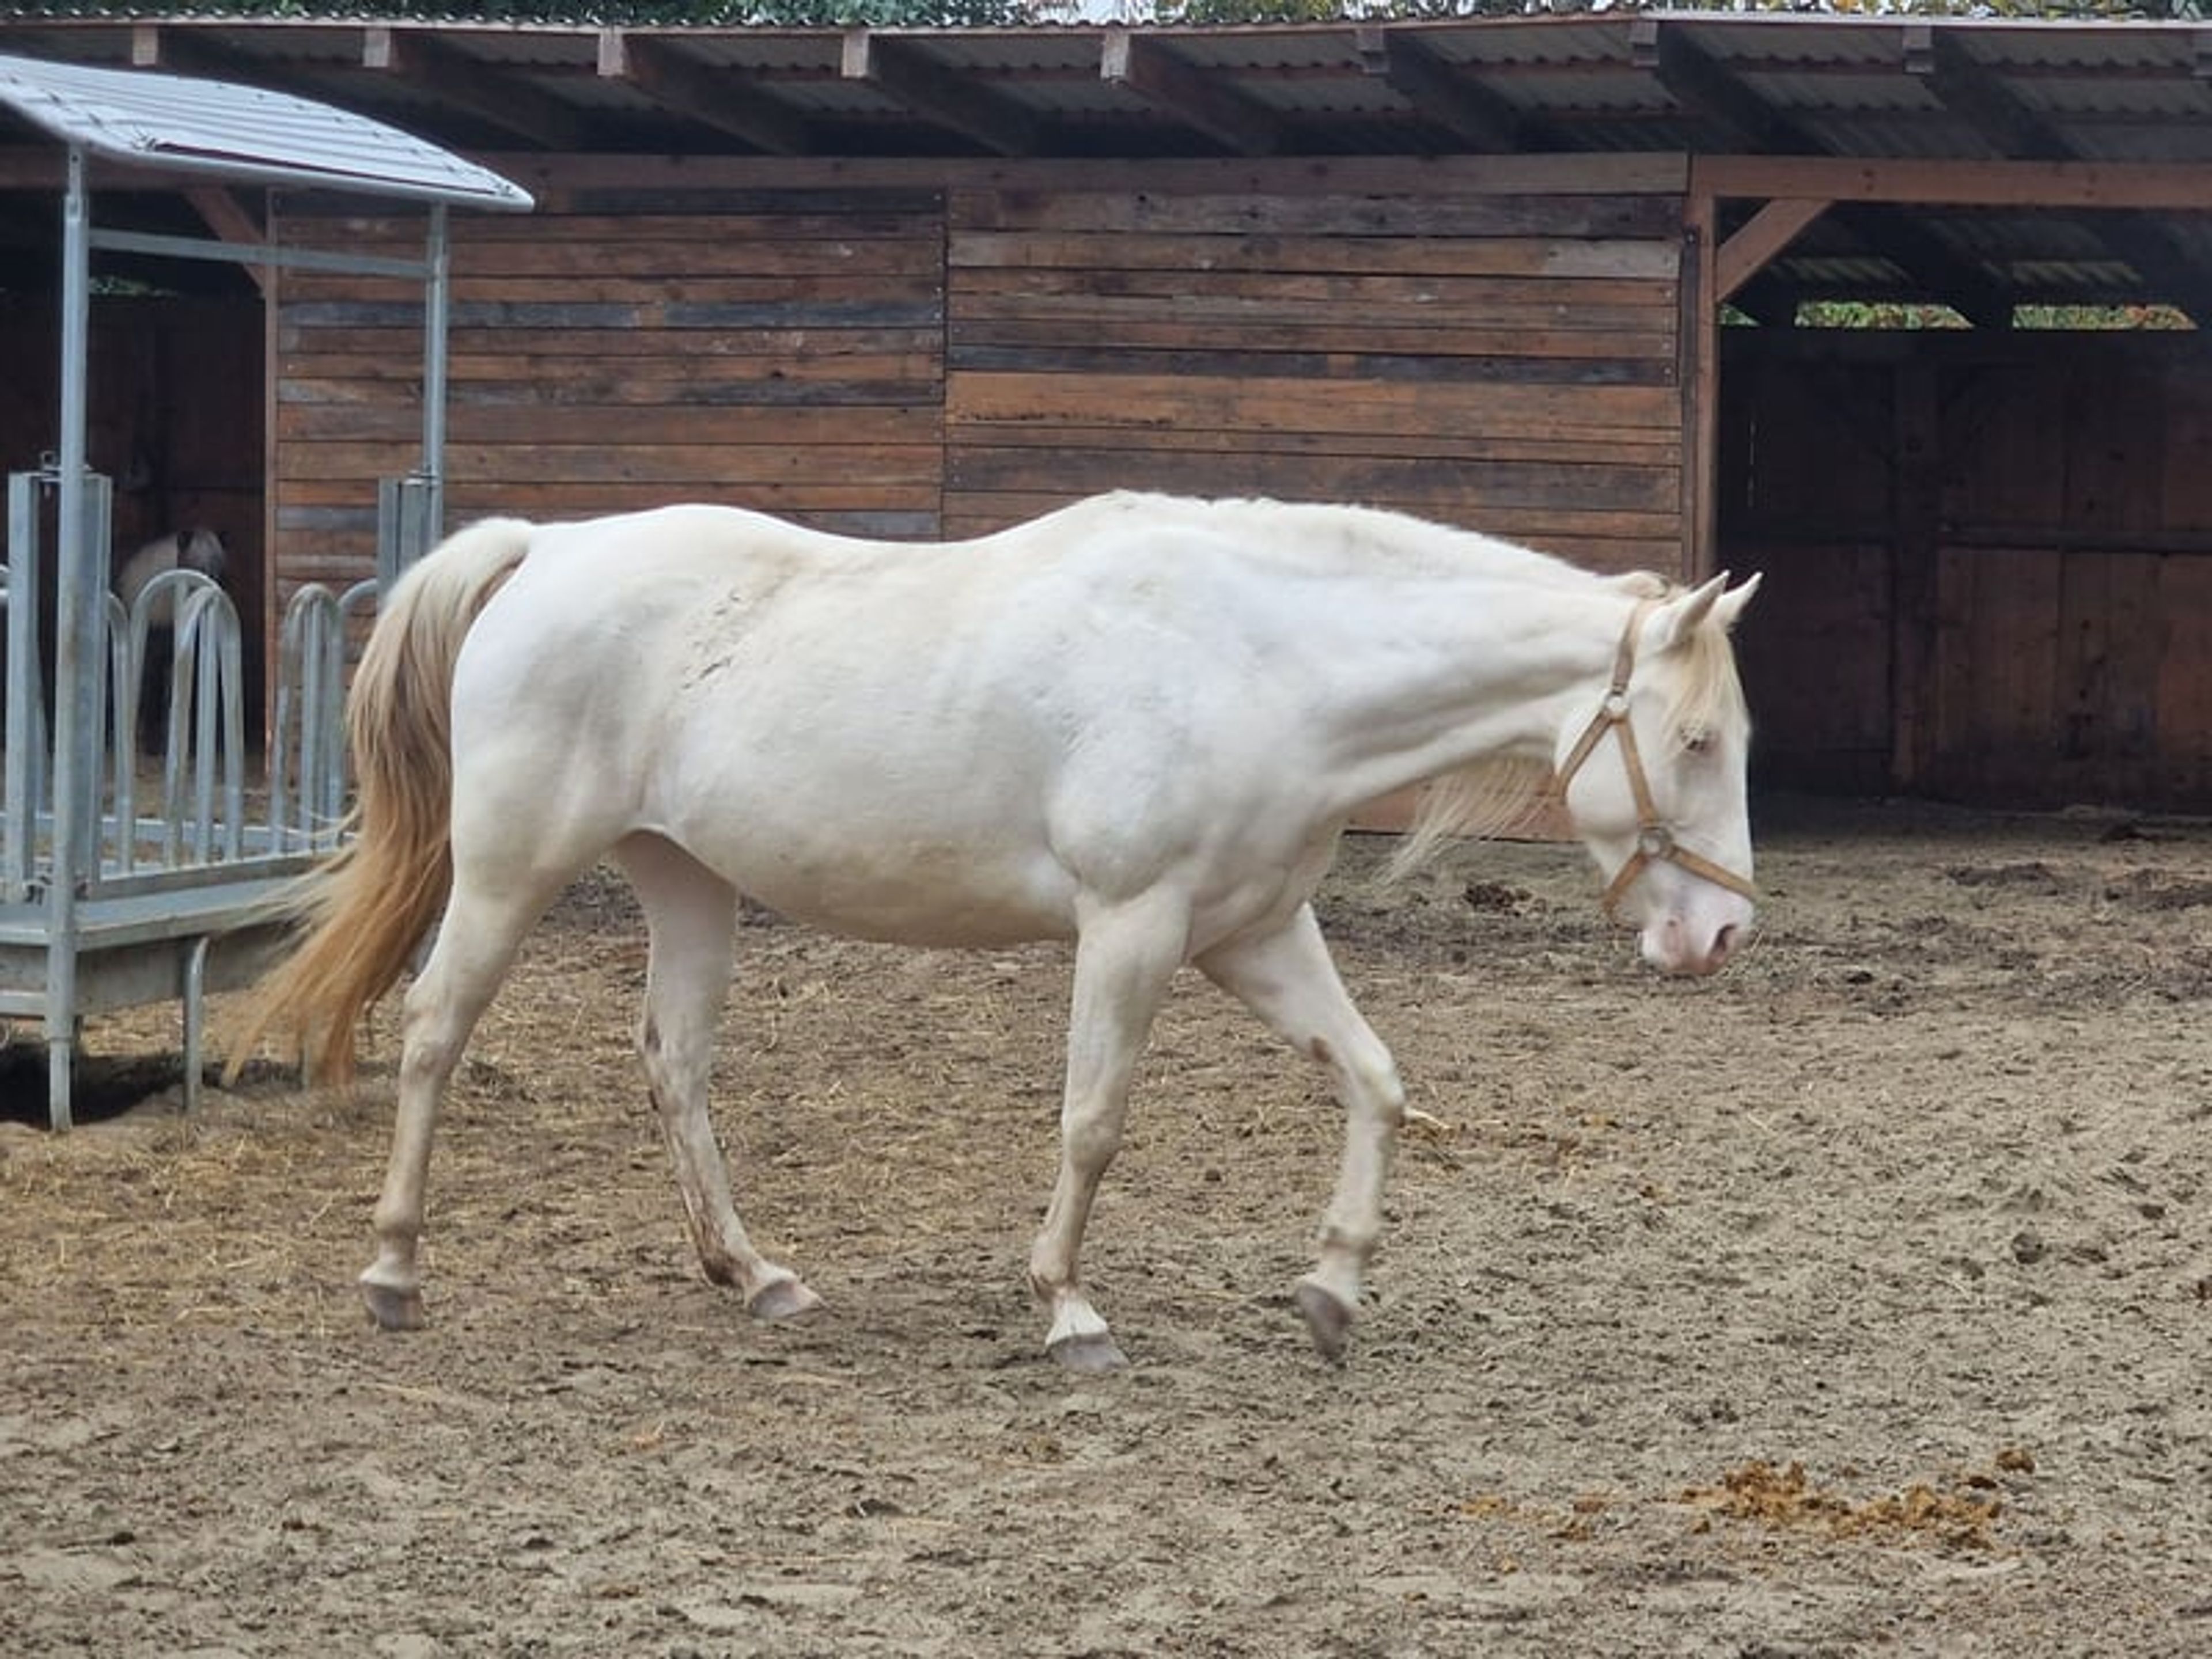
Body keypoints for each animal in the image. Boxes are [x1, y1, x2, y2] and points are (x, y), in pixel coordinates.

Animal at [227, 492, 1760, 1370]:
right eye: (1694, 740)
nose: (1720, 938)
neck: (1256, 658)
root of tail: (543, 552)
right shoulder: (1134, 927)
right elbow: (1093, 1121)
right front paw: (1068, 1310)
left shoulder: (1254, 933)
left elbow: (1377, 1083)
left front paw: (1330, 1292)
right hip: (509, 866)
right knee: (435, 1032)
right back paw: (394, 1273)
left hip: (686, 879)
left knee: (674, 1063)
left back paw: (755, 1277)